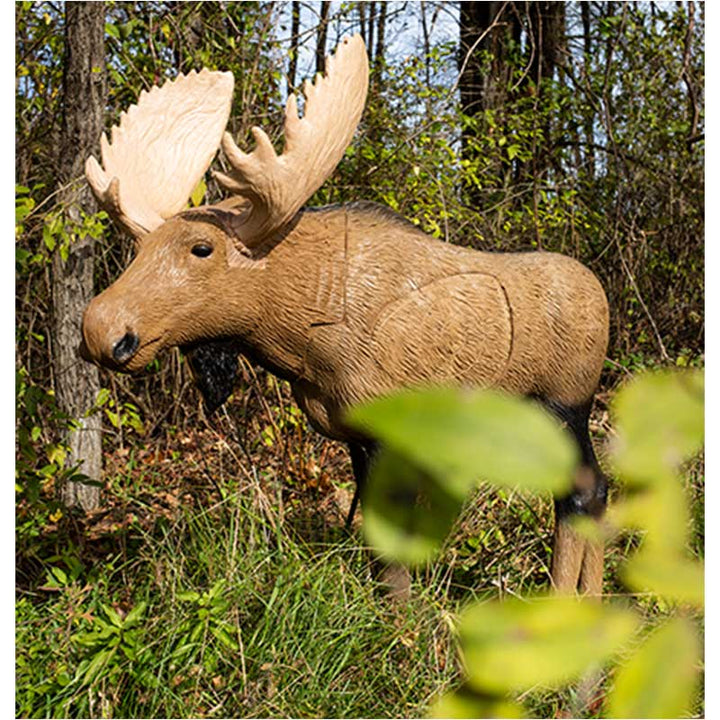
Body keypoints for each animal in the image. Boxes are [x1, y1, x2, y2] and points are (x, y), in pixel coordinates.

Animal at [79, 35, 609, 599]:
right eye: (139, 250)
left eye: (202, 248)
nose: (102, 330)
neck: (300, 340)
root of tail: (600, 295)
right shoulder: (353, 430)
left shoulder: (389, 424)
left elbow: (392, 543)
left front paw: (400, 617)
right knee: (595, 491)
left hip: (563, 405)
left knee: (582, 492)